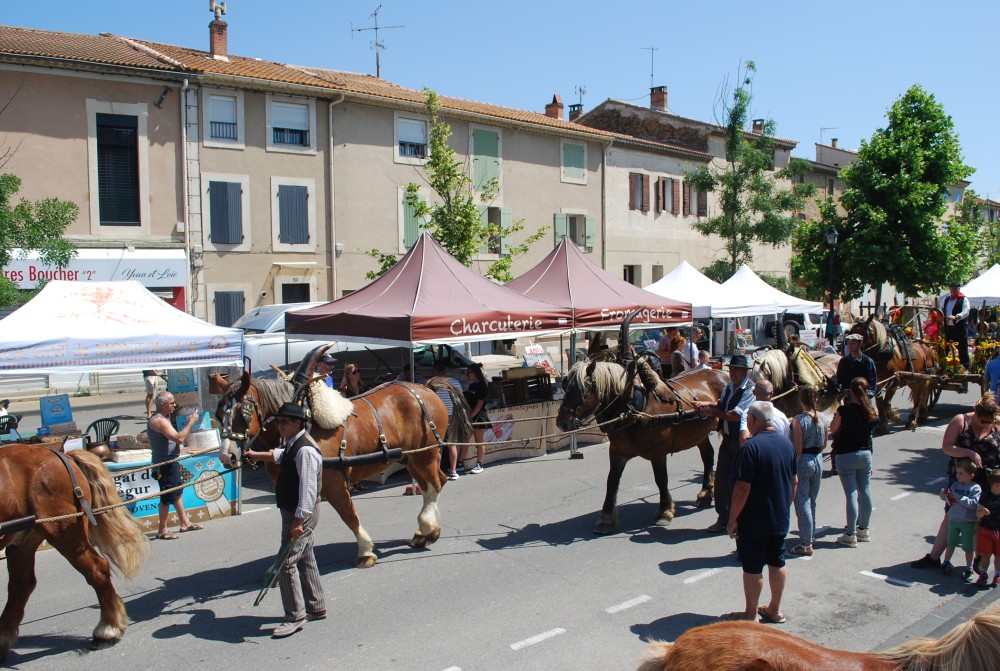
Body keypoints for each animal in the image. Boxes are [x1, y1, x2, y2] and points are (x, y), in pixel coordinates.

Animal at [0, 446, 150, 660]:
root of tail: (62, 455)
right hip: (24, 540)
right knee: (21, 585)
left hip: (63, 533)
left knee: (97, 570)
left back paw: (107, 630)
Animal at [216, 352, 472, 568]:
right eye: (218, 414)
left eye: (242, 412)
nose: (226, 456)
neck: (303, 422)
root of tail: (426, 387)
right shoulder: (291, 488)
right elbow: (292, 525)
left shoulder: (334, 484)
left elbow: (349, 515)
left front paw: (365, 551)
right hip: (411, 458)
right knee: (433, 484)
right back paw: (423, 532)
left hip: (424, 455)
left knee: (434, 484)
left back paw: (429, 529)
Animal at [556, 356, 728, 536]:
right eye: (565, 386)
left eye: (584, 389)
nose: (562, 422)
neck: (634, 408)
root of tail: (721, 373)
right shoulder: (617, 452)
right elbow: (612, 481)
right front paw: (606, 519)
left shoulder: (658, 452)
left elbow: (661, 479)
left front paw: (665, 511)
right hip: (699, 433)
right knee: (708, 456)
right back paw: (706, 494)